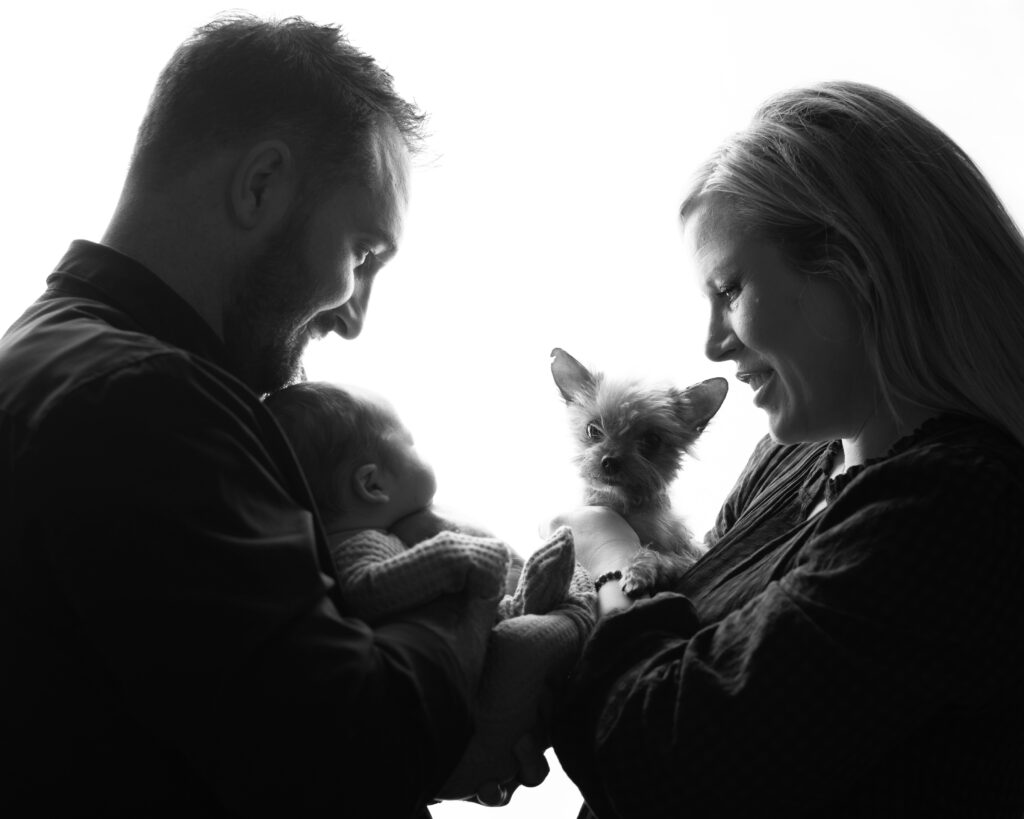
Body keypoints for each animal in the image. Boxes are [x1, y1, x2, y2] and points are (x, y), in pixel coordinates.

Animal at [552, 346, 729, 593]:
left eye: (652, 441)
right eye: (592, 430)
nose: (610, 461)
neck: (623, 503)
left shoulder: (689, 556)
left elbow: (665, 556)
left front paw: (641, 569)